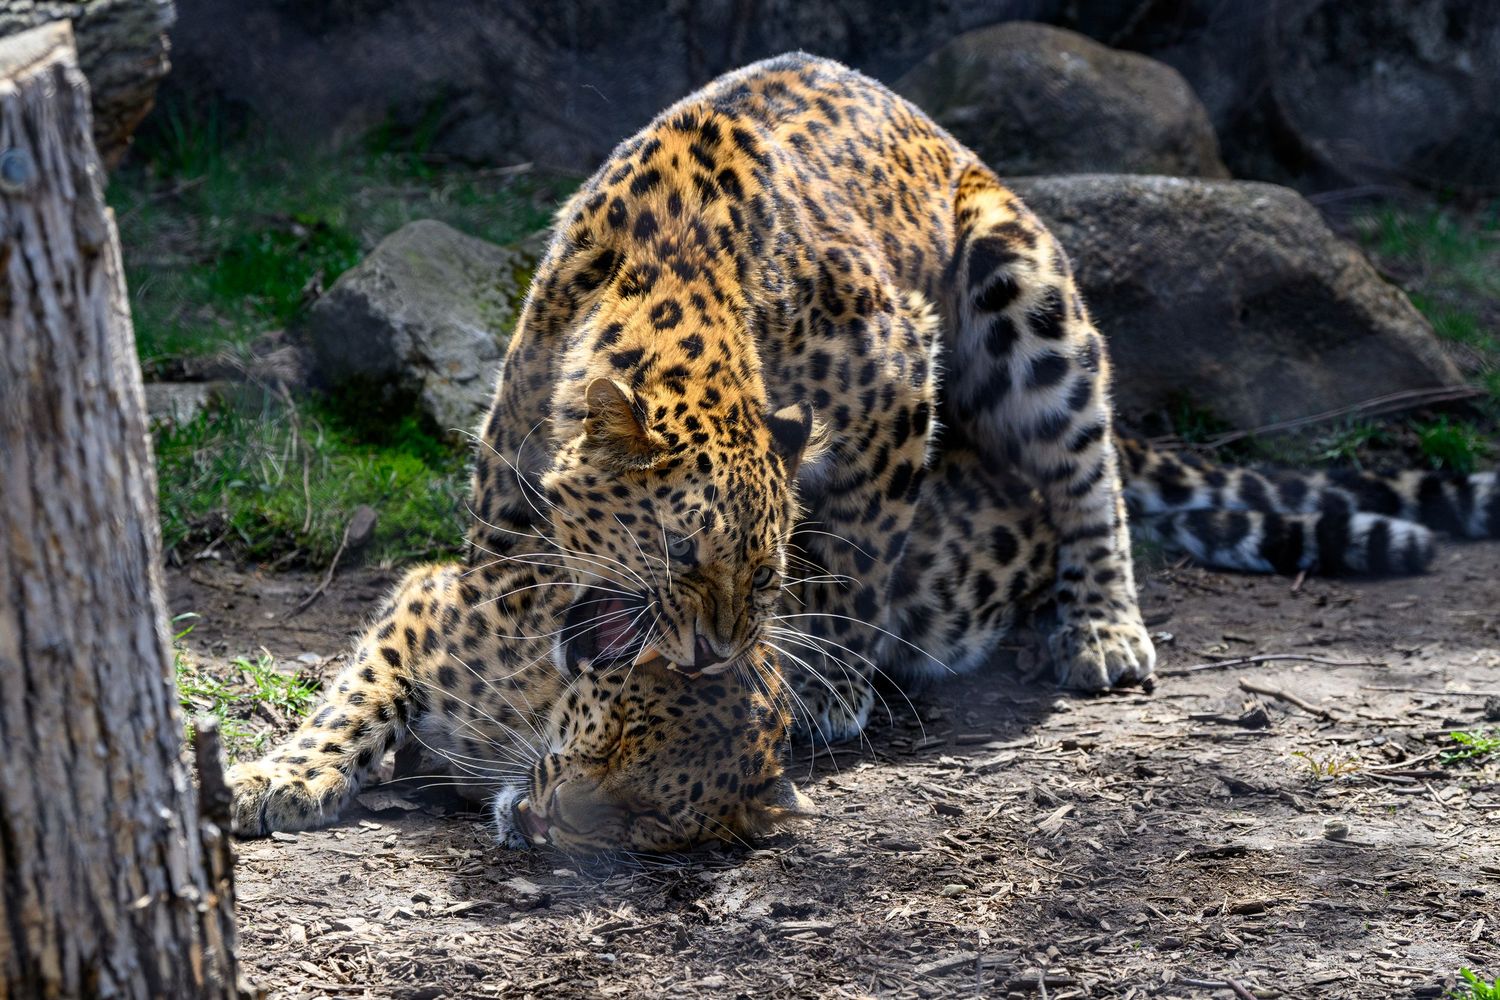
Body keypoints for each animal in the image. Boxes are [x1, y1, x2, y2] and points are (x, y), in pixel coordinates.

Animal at [228, 51, 1500, 852]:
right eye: (680, 556)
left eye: (764, 568)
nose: (713, 654)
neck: (674, 276)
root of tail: (942, 130)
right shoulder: (515, 439)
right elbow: (416, 639)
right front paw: (286, 771)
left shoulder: (897, 368)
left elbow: (859, 555)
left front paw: (826, 681)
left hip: (1024, 284)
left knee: (1087, 476)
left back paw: (1102, 628)